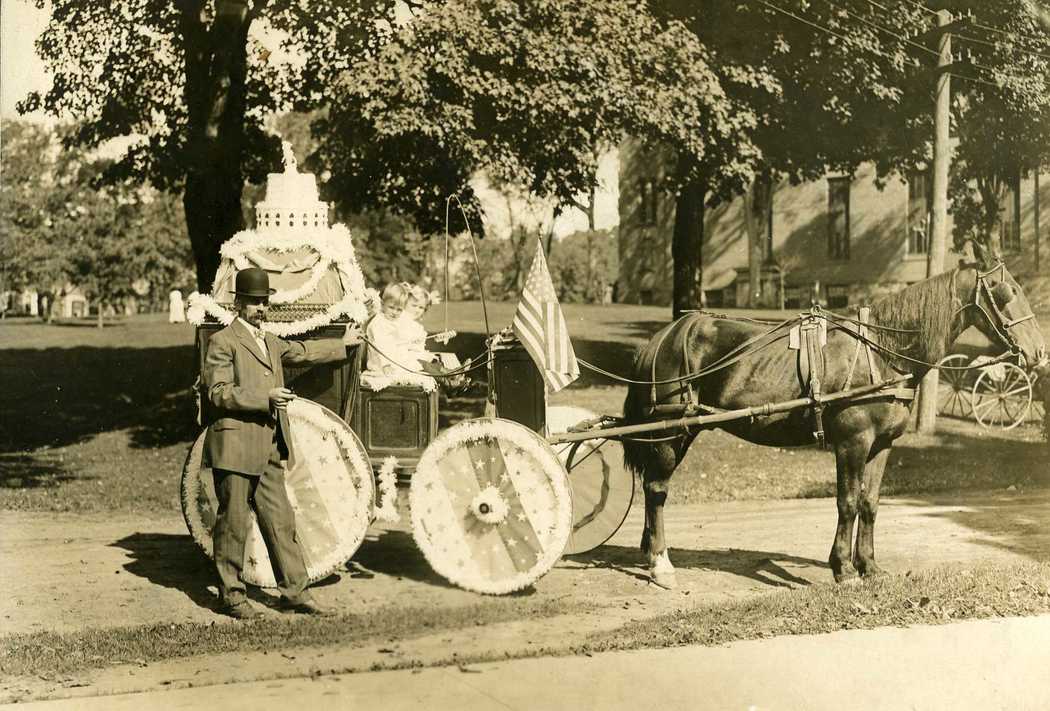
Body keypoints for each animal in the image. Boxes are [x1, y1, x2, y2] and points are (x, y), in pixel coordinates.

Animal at [621, 243, 1041, 588]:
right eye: (1007, 291)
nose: (1038, 351)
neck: (881, 351)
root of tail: (662, 337)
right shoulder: (853, 442)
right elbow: (848, 502)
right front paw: (843, 569)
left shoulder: (882, 445)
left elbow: (870, 503)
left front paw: (869, 566)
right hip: (671, 432)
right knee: (656, 490)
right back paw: (660, 563)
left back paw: (649, 551)